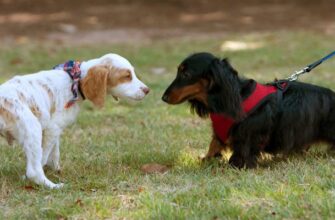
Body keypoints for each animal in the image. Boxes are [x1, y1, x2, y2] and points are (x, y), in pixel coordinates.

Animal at [0, 53, 150, 189]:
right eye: (127, 76)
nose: (147, 90)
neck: (75, 81)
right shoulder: (52, 128)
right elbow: (44, 156)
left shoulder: (54, 130)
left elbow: (54, 152)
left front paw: (56, 169)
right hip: (33, 128)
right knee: (34, 171)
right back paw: (54, 186)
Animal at [164, 52, 335, 168]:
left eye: (186, 74)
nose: (163, 97)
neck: (237, 98)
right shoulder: (220, 135)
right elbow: (213, 147)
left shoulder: (246, 141)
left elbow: (237, 159)